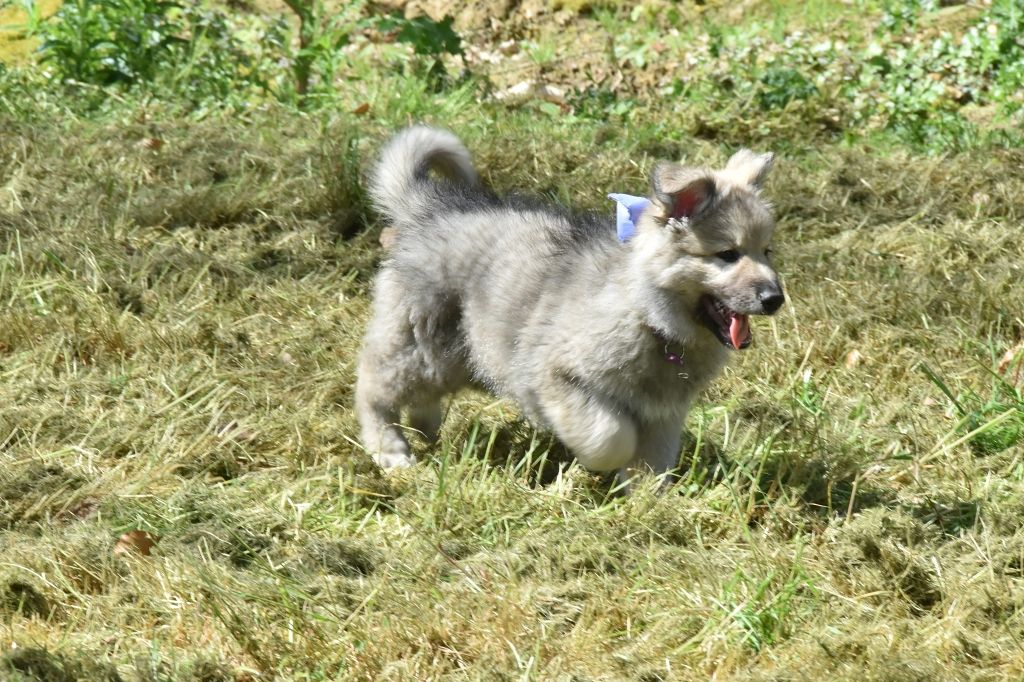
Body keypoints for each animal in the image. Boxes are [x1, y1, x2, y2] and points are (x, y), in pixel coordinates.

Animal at [355, 126, 784, 483]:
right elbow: (610, 436)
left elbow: (653, 462)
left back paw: (424, 426)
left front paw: (646, 502)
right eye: (727, 255)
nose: (775, 299)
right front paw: (602, 468)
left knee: (418, 393)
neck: (648, 316)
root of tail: (426, 208)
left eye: (767, 251)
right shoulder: (558, 378)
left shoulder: (664, 414)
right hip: (419, 343)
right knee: (372, 388)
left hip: (454, 357)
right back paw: (390, 451)